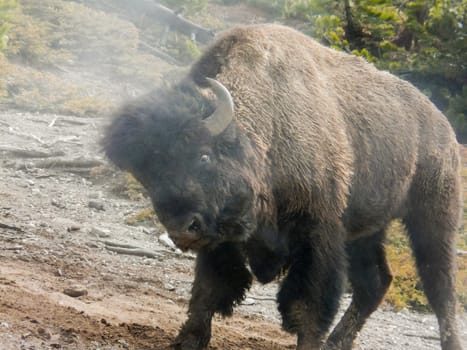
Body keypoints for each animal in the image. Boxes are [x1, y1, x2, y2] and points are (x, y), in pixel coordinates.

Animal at [103, 23, 464, 348]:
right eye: (146, 175)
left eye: (203, 155)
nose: (182, 230)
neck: (266, 127)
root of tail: (444, 128)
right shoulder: (221, 240)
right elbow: (209, 290)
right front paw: (187, 341)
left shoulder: (317, 234)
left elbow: (307, 305)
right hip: (366, 231)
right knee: (375, 283)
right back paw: (338, 342)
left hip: (432, 218)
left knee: (441, 288)